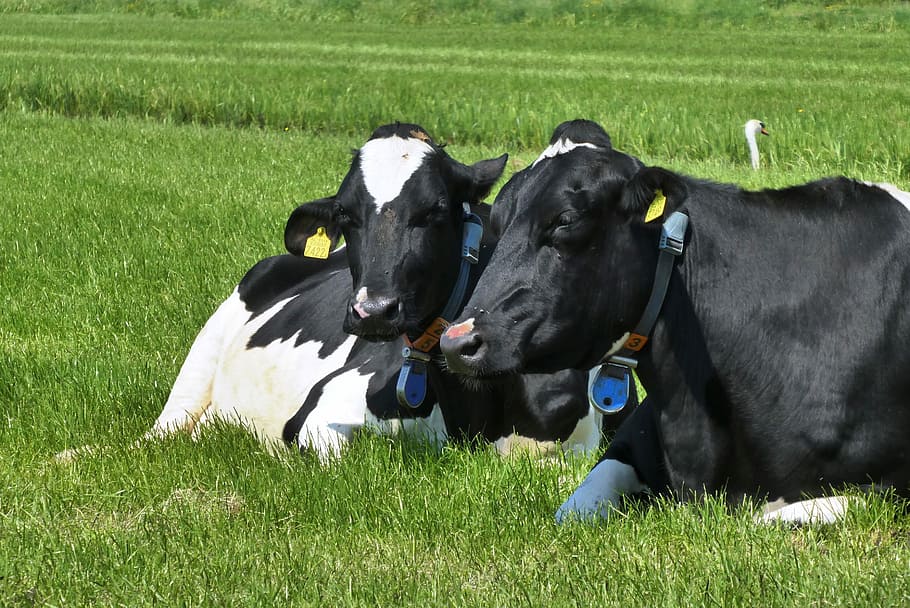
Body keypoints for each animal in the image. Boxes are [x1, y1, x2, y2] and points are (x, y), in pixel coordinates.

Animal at [56, 123, 609, 464]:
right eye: (346, 214)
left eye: (435, 209)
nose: (373, 310)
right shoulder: (320, 411)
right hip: (207, 347)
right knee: (160, 433)